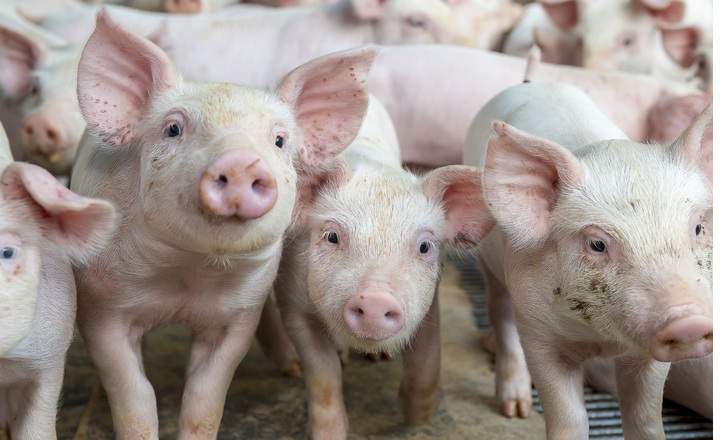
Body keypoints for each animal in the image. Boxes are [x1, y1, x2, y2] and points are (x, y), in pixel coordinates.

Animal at [71, 11, 375, 437]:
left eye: (279, 141)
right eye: (173, 129)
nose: (241, 162)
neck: (187, 275)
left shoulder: (236, 317)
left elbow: (203, 397)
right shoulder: (101, 307)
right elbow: (136, 397)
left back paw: (300, 369)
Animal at [275, 95, 493, 439]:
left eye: (425, 246)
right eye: (332, 236)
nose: (376, 300)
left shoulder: (427, 304)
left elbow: (427, 365)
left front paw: (417, 420)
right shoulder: (293, 305)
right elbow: (323, 378)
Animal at [464, 81, 712, 438]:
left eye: (697, 228)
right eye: (597, 244)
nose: (688, 321)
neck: (601, 338)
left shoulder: (649, 358)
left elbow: (645, 418)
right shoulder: (539, 332)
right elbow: (568, 417)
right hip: (490, 266)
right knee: (501, 315)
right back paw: (515, 409)